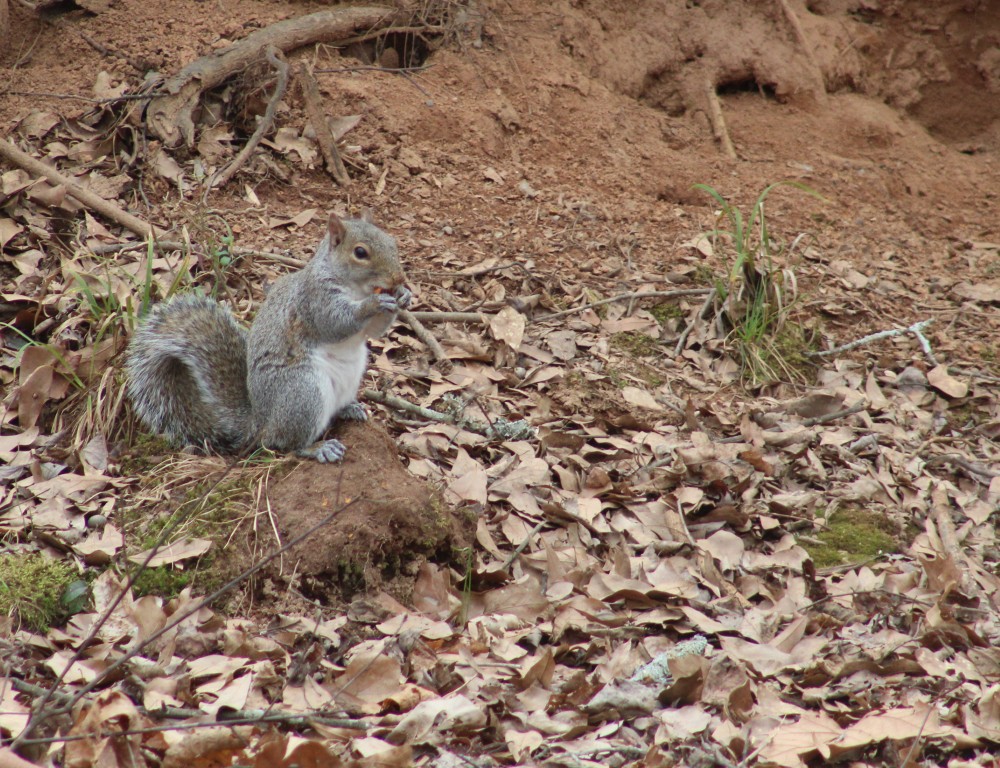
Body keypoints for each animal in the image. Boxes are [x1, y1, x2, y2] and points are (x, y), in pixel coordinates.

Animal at [125, 211, 411, 462]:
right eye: (360, 252)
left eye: (392, 242)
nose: (399, 278)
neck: (356, 289)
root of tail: (260, 423)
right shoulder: (313, 300)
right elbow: (335, 323)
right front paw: (374, 303)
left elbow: (374, 331)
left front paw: (403, 297)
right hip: (302, 392)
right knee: (284, 443)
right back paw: (317, 448)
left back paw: (350, 408)